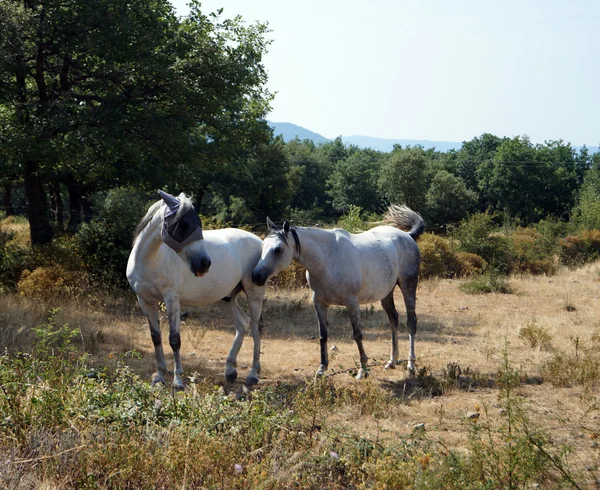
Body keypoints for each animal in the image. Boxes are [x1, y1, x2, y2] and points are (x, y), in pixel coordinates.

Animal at [127, 189, 266, 388]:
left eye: (198, 223)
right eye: (183, 224)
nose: (204, 263)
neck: (150, 261)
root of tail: (258, 240)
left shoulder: (172, 300)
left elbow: (174, 339)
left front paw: (178, 380)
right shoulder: (145, 301)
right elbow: (156, 337)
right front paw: (159, 376)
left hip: (254, 293)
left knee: (256, 327)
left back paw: (253, 374)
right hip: (225, 298)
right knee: (242, 324)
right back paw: (230, 371)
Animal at [251, 205, 424, 380]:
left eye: (278, 249)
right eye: (262, 246)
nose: (256, 276)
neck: (327, 260)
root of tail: (407, 236)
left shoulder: (351, 303)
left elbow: (357, 334)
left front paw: (362, 370)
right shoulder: (319, 303)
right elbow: (323, 335)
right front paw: (321, 369)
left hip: (408, 285)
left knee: (411, 323)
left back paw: (410, 365)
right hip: (386, 293)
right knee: (393, 320)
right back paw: (391, 361)